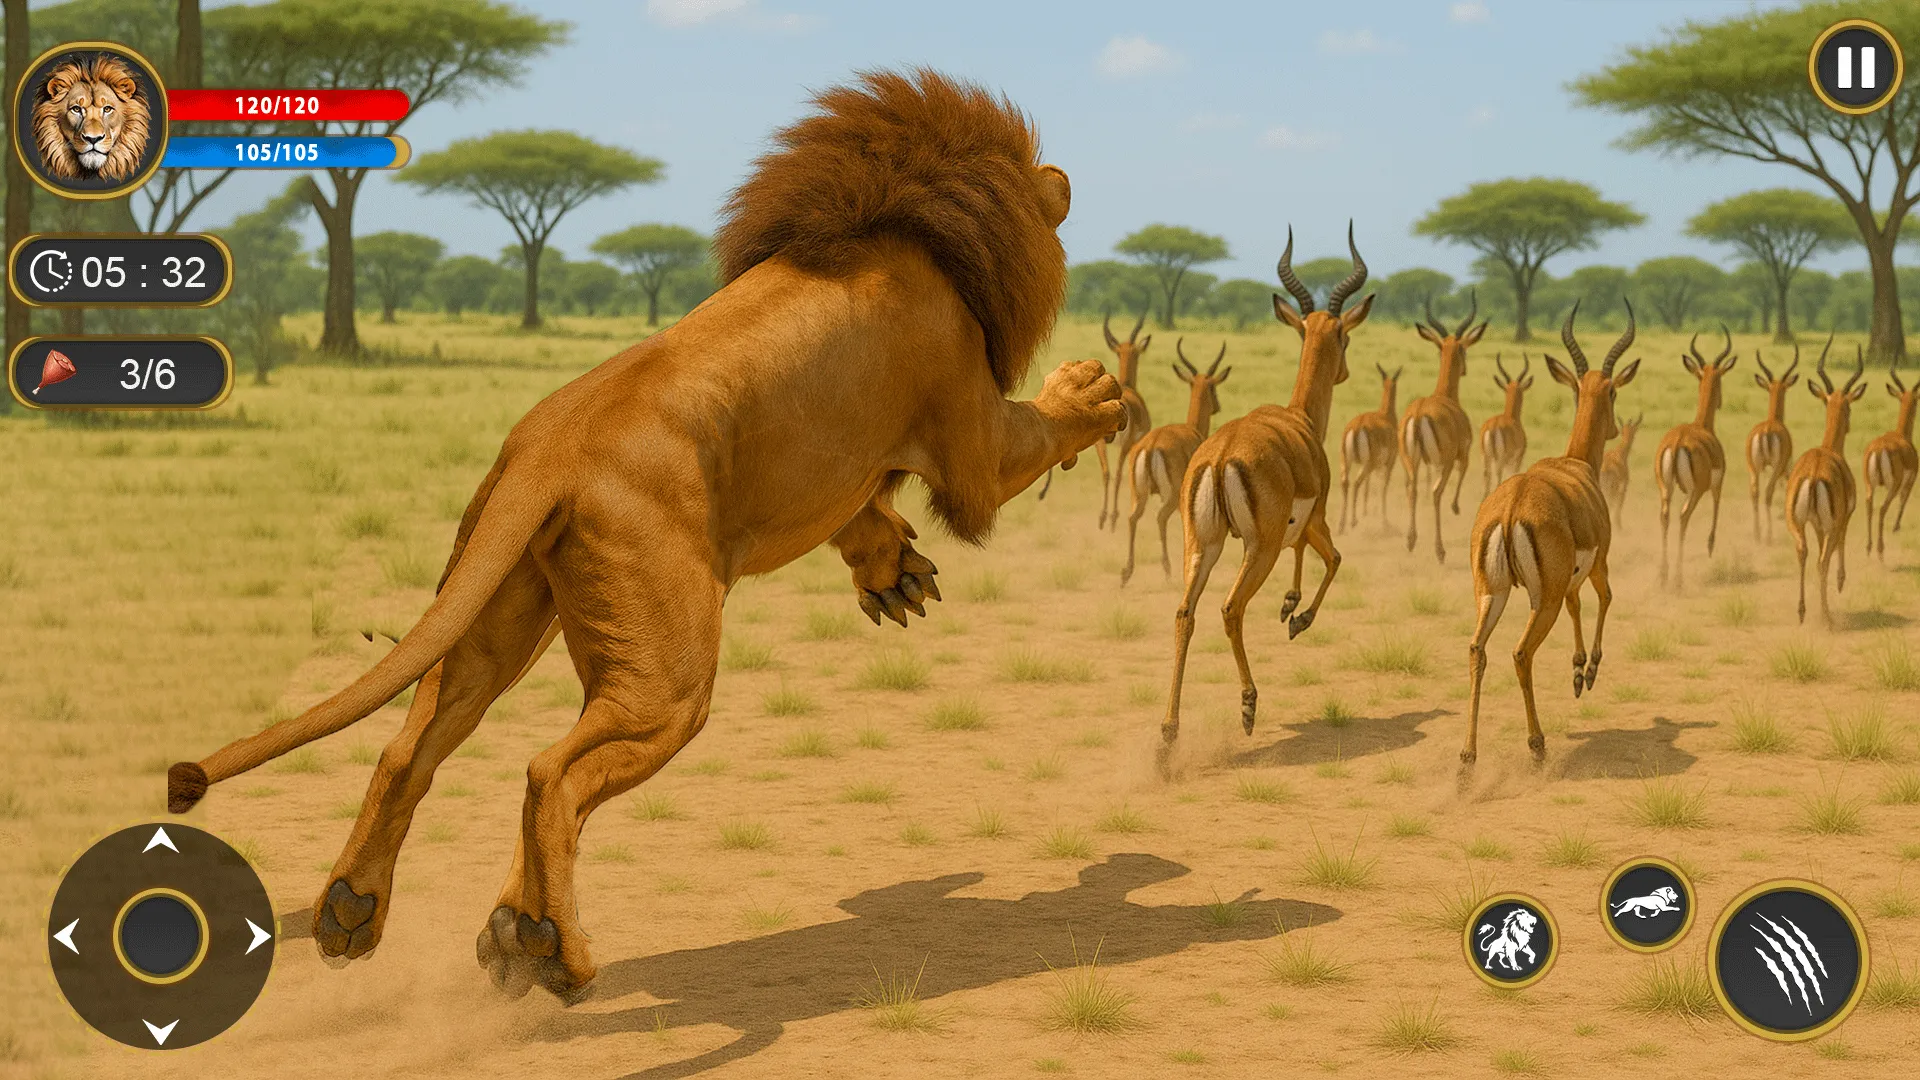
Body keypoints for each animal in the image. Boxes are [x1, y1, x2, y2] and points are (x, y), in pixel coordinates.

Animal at [168, 69, 1125, 1003]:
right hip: (668, 673)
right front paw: (1094, 390)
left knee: (414, 748)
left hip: (497, 610)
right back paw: (552, 954)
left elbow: (859, 515)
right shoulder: (971, 432)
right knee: (551, 773)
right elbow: (1033, 435)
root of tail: (547, 452)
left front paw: (894, 574)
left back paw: (374, 917)